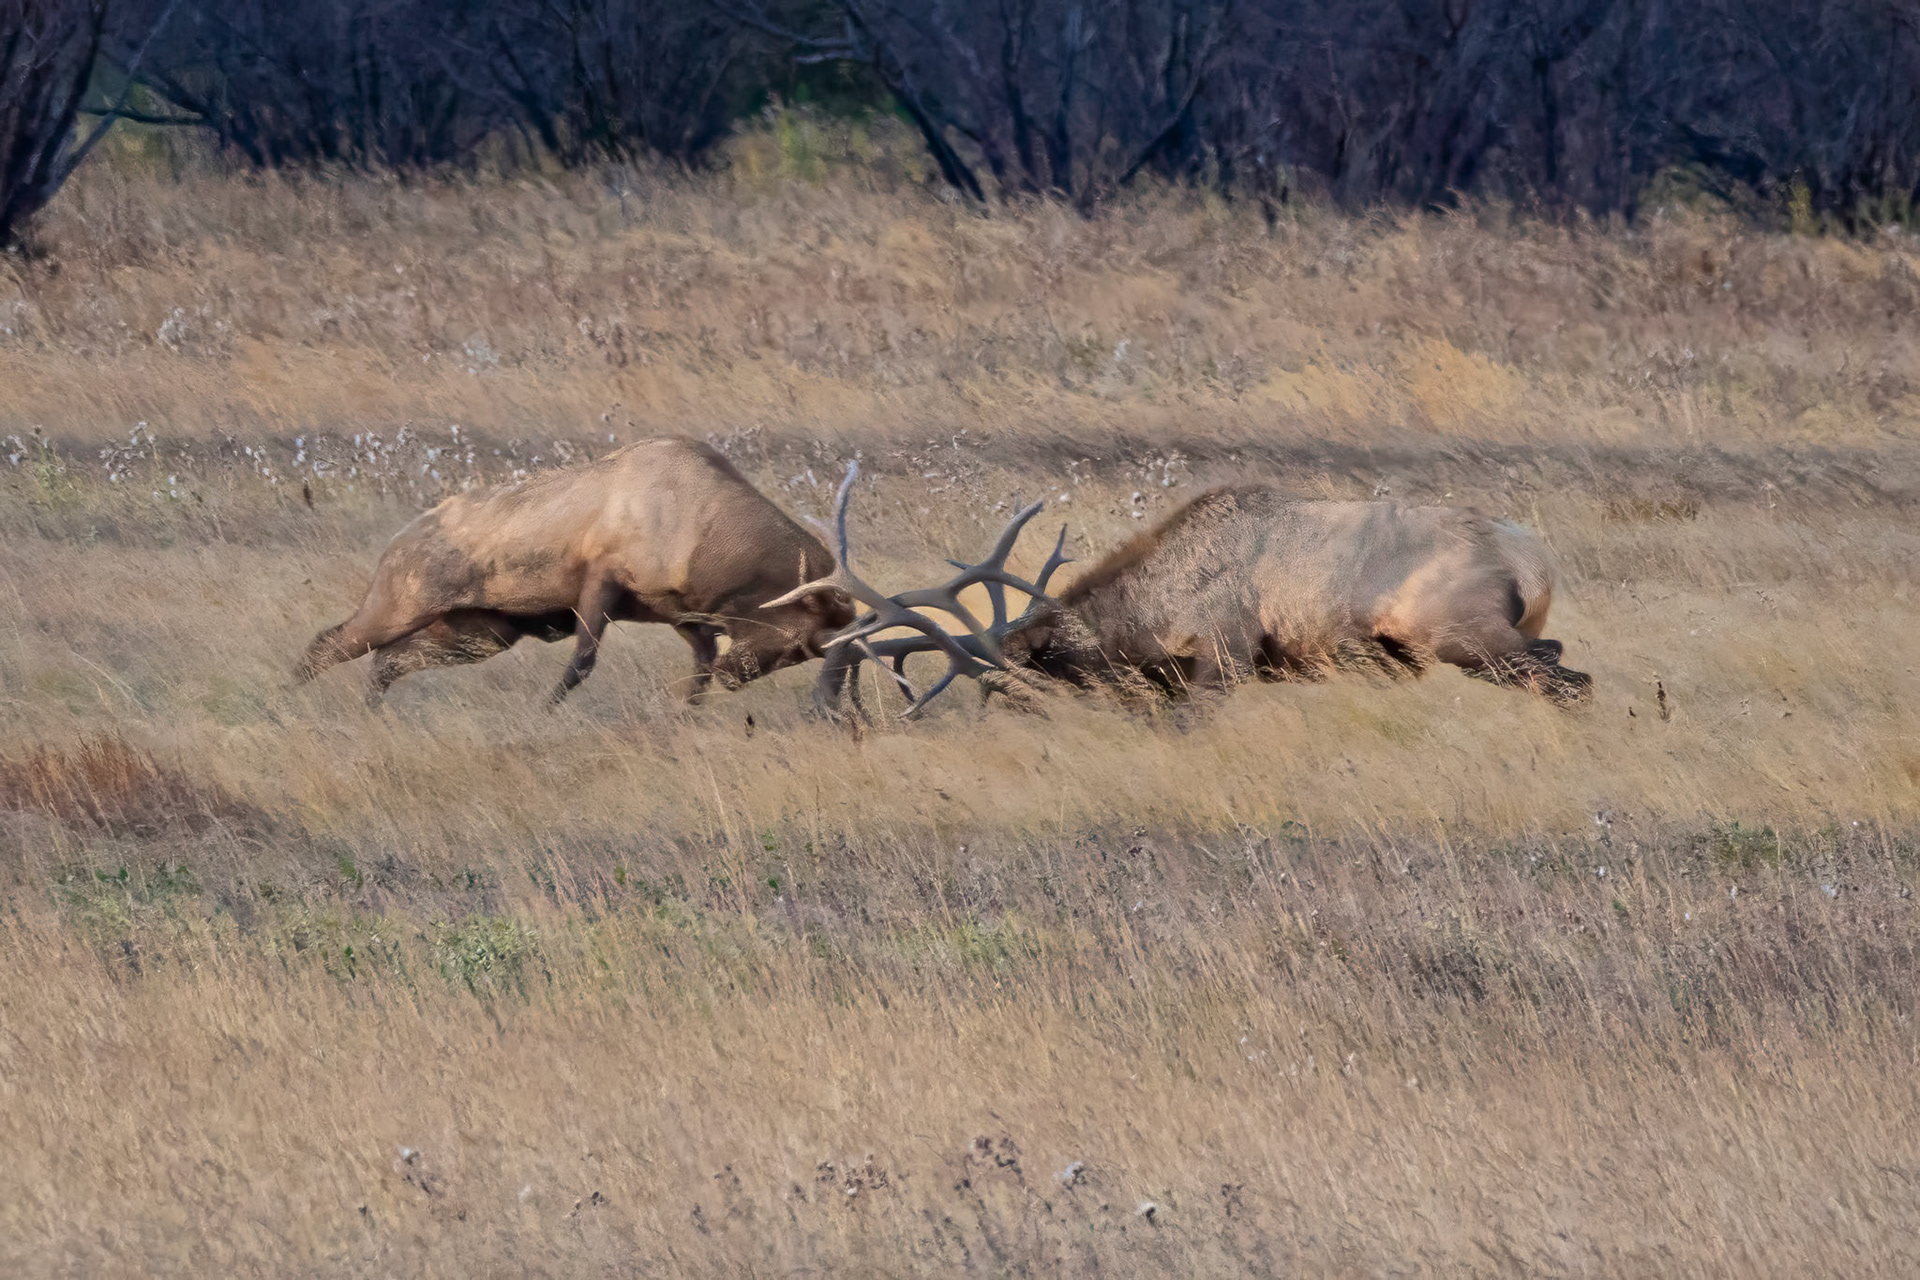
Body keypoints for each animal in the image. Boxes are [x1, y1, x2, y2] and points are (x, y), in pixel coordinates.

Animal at [296, 437, 856, 706]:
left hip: (479, 632)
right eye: (797, 639)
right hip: (400, 607)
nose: (735, 677)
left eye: (806, 653)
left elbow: (696, 671)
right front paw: (541, 713)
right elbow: (580, 665)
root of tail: (395, 543)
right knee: (325, 644)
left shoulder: (680, 614)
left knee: (385, 662)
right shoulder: (601, 582)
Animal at [769, 463, 1592, 724]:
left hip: (1463, 634)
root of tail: (1534, 560)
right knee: (1559, 665)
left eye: (1032, 680)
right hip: (1500, 639)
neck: (1155, 608)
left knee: (1571, 681)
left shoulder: (1224, 656)